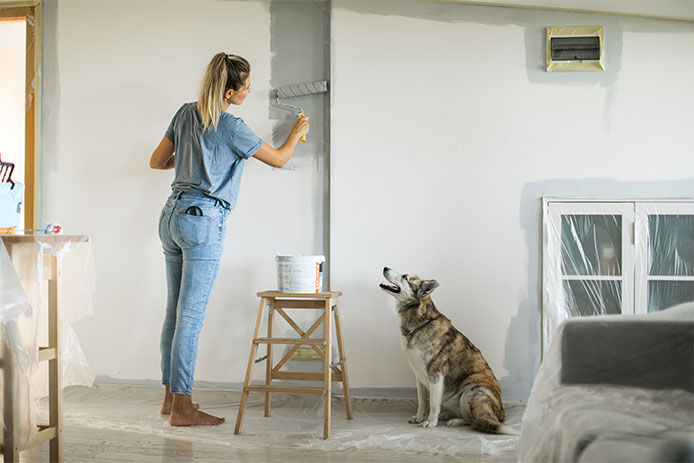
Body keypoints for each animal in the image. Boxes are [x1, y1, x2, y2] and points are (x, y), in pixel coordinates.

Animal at [380, 266, 516, 436]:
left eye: (405, 277)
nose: (385, 267)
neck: (420, 322)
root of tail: (502, 413)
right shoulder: (419, 376)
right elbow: (421, 401)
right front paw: (419, 417)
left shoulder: (436, 375)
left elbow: (432, 403)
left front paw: (430, 422)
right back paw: (448, 415)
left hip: (473, 390)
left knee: (477, 419)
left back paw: (455, 420)